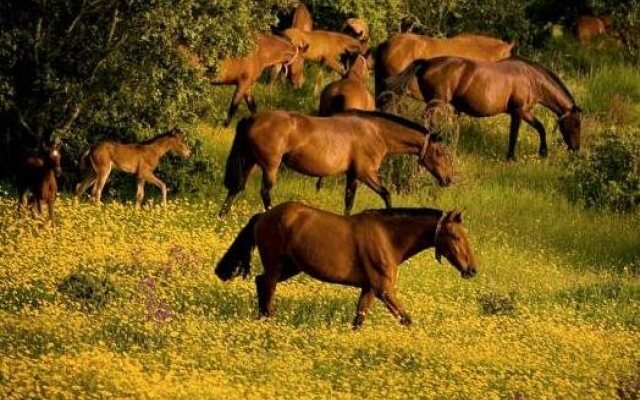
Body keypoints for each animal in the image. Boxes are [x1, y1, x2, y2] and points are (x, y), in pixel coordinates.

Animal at [215, 202, 476, 326]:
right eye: (455, 236)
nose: (471, 270)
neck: (388, 238)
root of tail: (264, 215)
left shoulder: (369, 289)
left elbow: (358, 321)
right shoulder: (384, 290)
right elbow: (406, 319)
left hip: (291, 267)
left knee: (261, 283)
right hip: (276, 264)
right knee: (267, 288)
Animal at [220, 109, 456, 217]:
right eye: (440, 153)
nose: (448, 179)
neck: (376, 133)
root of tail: (252, 119)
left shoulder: (353, 176)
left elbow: (349, 202)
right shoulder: (366, 174)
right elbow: (387, 194)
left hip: (250, 162)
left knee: (236, 188)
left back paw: (223, 216)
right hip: (270, 166)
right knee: (265, 192)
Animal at [382, 55, 584, 161]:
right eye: (576, 124)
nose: (576, 148)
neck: (531, 78)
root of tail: (427, 62)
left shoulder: (523, 112)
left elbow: (538, 128)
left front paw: (542, 153)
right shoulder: (519, 112)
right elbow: (516, 134)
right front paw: (512, 157)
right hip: (436, 102)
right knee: (426, 118)